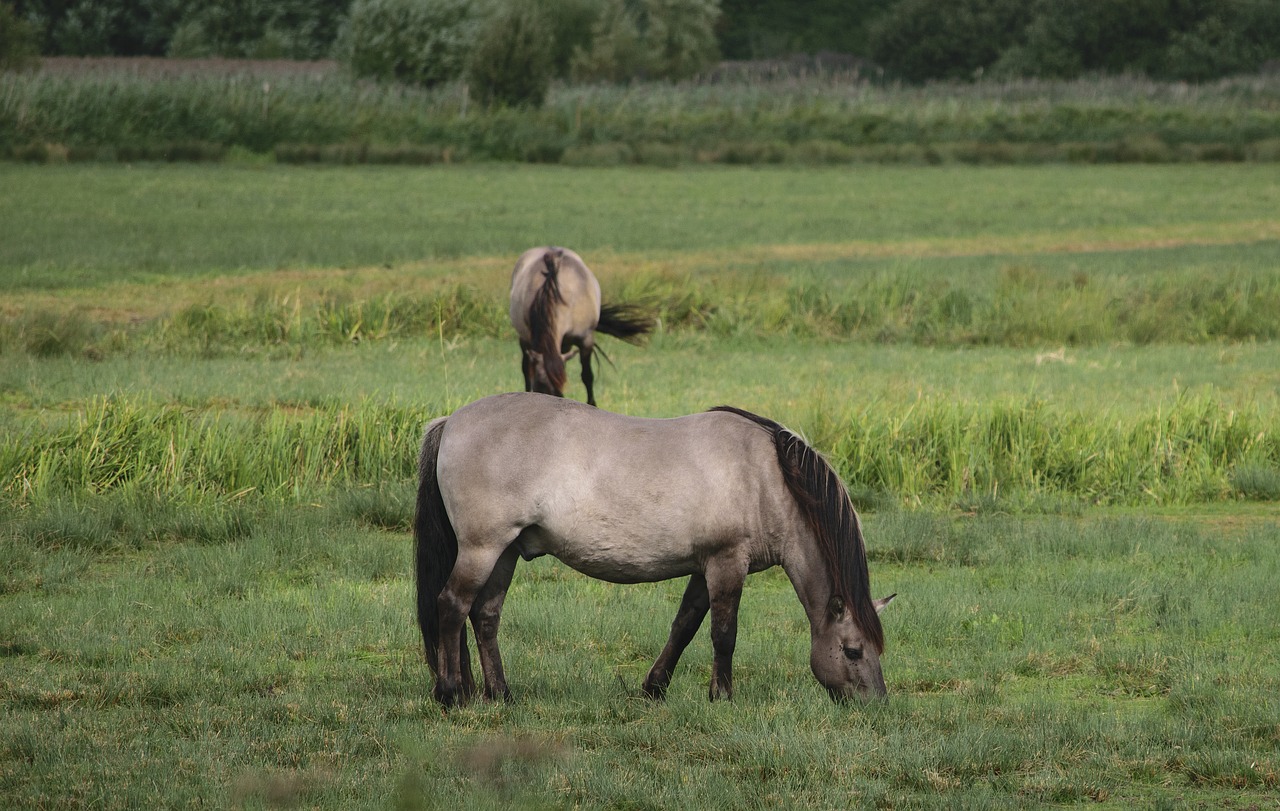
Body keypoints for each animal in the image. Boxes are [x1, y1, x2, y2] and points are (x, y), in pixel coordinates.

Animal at [414, 393, 896, 706]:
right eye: (853, 650)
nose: (875, 704)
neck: (765, 477)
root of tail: (451, 421)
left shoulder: (705, 567)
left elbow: (684, 625)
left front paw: (654, 688)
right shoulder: (727, 563)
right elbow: (723, 633)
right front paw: (722, 696)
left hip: (506, 552)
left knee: (485, 615)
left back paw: (499, 694)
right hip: (482, 549)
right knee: (452, 605)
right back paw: (451, 694)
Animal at [506, 244, 650, 406]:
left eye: (555, 391)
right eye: (539, 388)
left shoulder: (586, 340)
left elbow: (587, 376)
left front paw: (592, 404)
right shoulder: (530, 340)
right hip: (524, 339)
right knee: (526, 369)